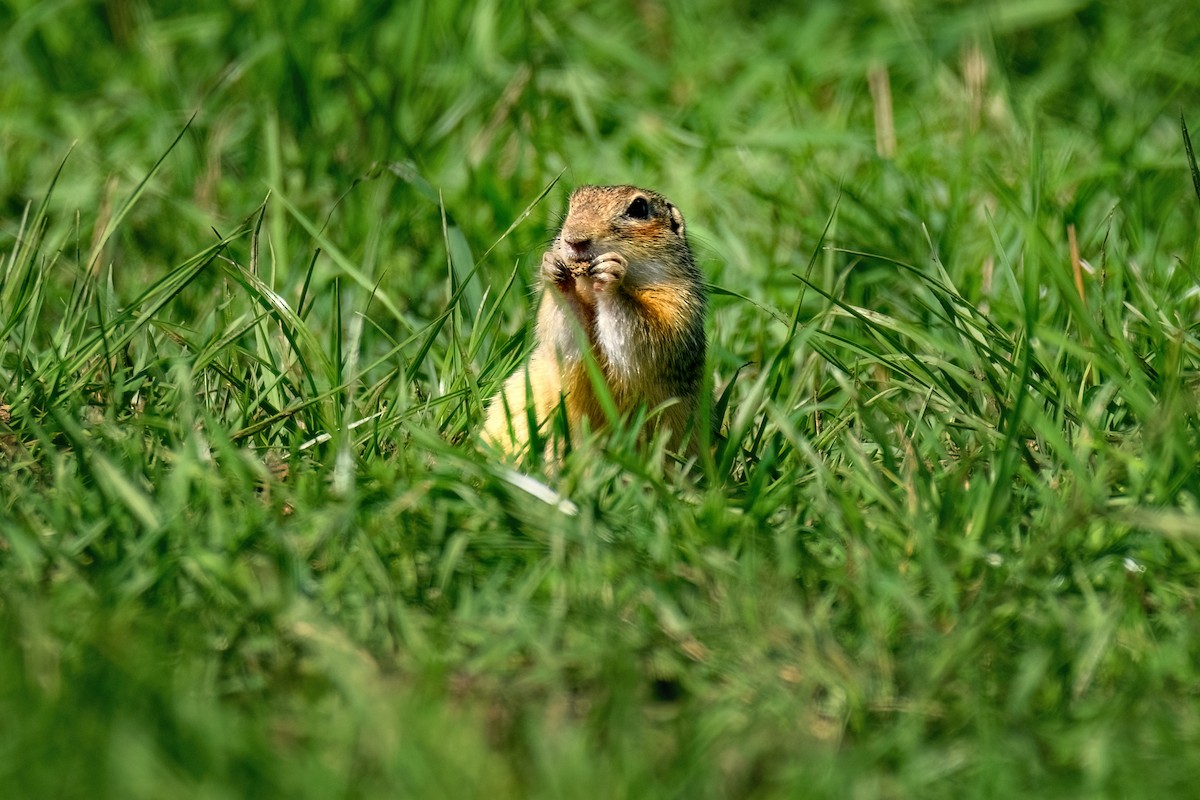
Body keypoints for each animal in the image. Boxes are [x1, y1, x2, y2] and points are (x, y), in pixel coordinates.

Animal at [482, 184, 708, 457]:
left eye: (639, 208)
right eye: (572, 204)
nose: (573, 239)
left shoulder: (678, 308)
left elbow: (643, 338)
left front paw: (610, 274)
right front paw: (553, 267)